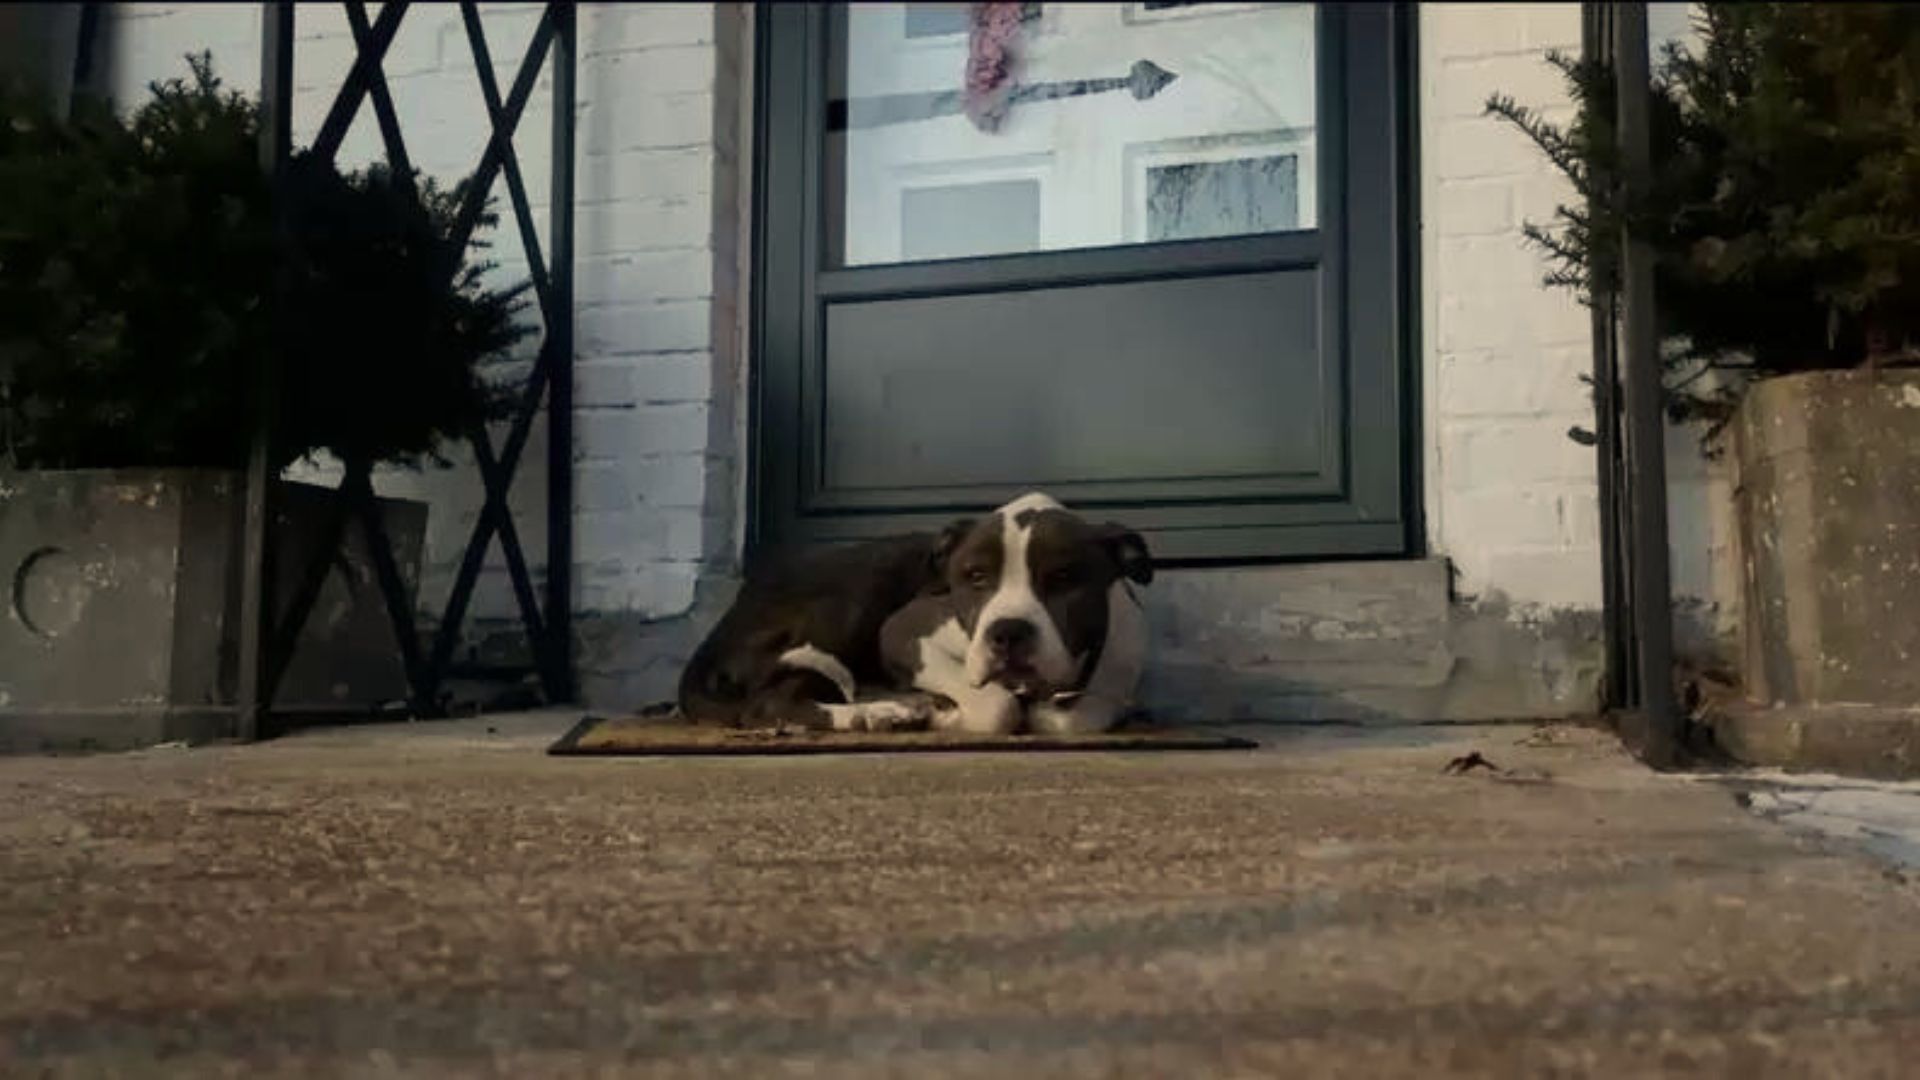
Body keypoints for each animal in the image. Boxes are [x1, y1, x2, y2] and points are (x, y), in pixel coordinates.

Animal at [679, 495, 1152, 730]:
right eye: (975, 576)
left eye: (1064, 577)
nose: (1007, 633)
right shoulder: (904, 631)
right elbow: (995, 706)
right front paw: (947, 711)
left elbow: (1071, 717)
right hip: (849, 604)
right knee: (771, 702)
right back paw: (872, 713)